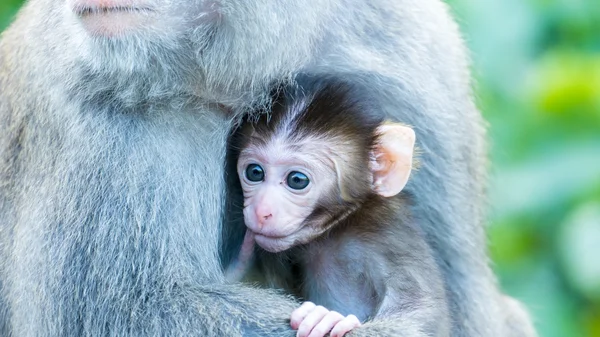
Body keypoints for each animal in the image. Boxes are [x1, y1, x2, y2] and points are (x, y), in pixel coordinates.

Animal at [227, 79, 448, 336]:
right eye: (254, 172)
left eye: (297, 180)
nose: (261, 211)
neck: (337, 231)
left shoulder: (389, 235)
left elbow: (421, 313)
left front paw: (327, 319)